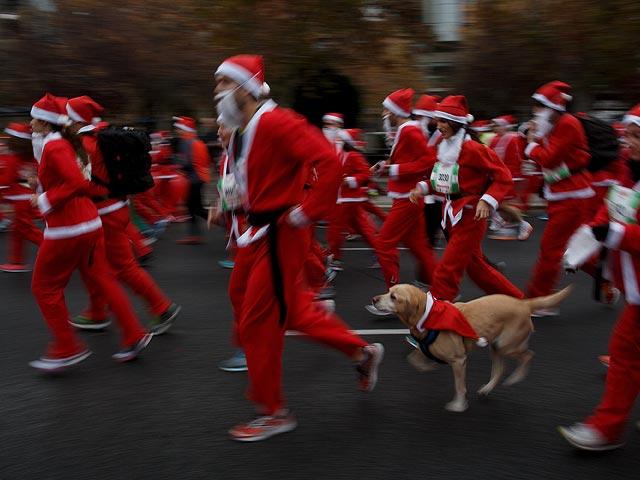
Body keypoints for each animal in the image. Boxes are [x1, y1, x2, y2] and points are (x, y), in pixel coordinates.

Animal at [372, 284, 572, 412]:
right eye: (388, 291)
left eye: (393, 297)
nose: (374, 299)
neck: (427, 316)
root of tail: (524, 303)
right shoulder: (424, 349)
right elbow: (413, 359)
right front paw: (428, 366)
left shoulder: (459, 361)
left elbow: (459, 387)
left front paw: (458, 406)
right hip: (496, 347)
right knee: (500, 369)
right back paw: (487, 389)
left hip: (507, 345)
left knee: (528, 355)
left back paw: (515, 378)